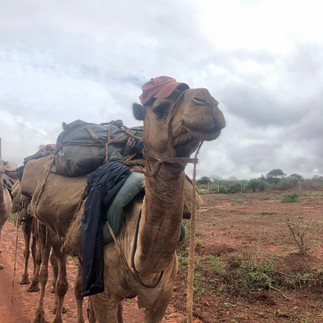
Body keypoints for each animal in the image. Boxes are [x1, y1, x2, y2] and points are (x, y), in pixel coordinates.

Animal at [31, 77, 227, 322]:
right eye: (159, 108)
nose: (208, 102)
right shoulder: (105, 293)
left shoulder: (162, 296)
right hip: (54, 233)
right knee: (60, 276)